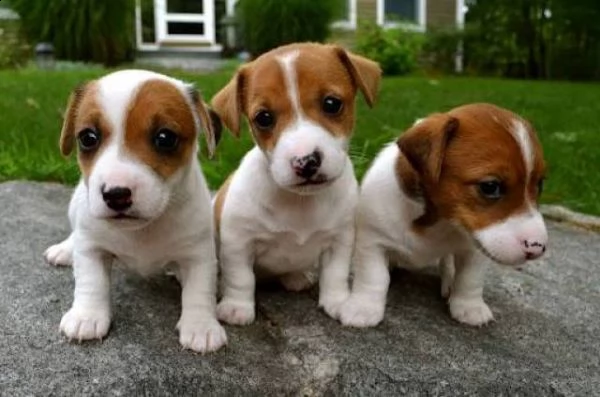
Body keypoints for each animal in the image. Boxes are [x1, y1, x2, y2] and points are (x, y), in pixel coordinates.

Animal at [43, 69, 227, 352]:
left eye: (165, 138)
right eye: (87, 138)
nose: (116, 194)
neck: (141, 231)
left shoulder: (198, 254)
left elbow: (199, 290)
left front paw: (201, 326)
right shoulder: (92, 247)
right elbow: (90, 281)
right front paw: (87, 316)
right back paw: (65, 250)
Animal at [211, 41, 380, 324]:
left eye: (332, 103)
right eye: (264, 118)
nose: (306, 161)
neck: (300, 203)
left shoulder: (340, 239)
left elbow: (335, 275)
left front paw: (337, 301)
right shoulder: (238, 241)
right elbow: (241, 278)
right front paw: (237, 306)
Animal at [340, 103, 548, 326]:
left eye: (540, 184)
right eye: (490, 187)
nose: (537, 248)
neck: (439, 221)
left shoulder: (474, 249)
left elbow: (469, 278)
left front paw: (469, 306)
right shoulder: (373, 241)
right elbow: (373, 276)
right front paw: (364, 307)